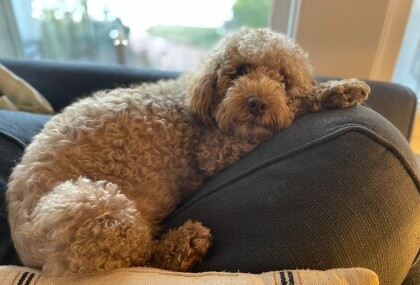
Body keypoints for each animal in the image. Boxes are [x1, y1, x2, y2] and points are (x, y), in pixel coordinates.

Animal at [5, 27, 368, 274]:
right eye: (239, 71)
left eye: (283, 78)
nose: (256, 103)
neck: (195, 100)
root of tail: (26, 252)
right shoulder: (215, 149)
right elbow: (292, 110)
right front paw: (332, 91)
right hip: (88, 205)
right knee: (140, 254)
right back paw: (186, 244)